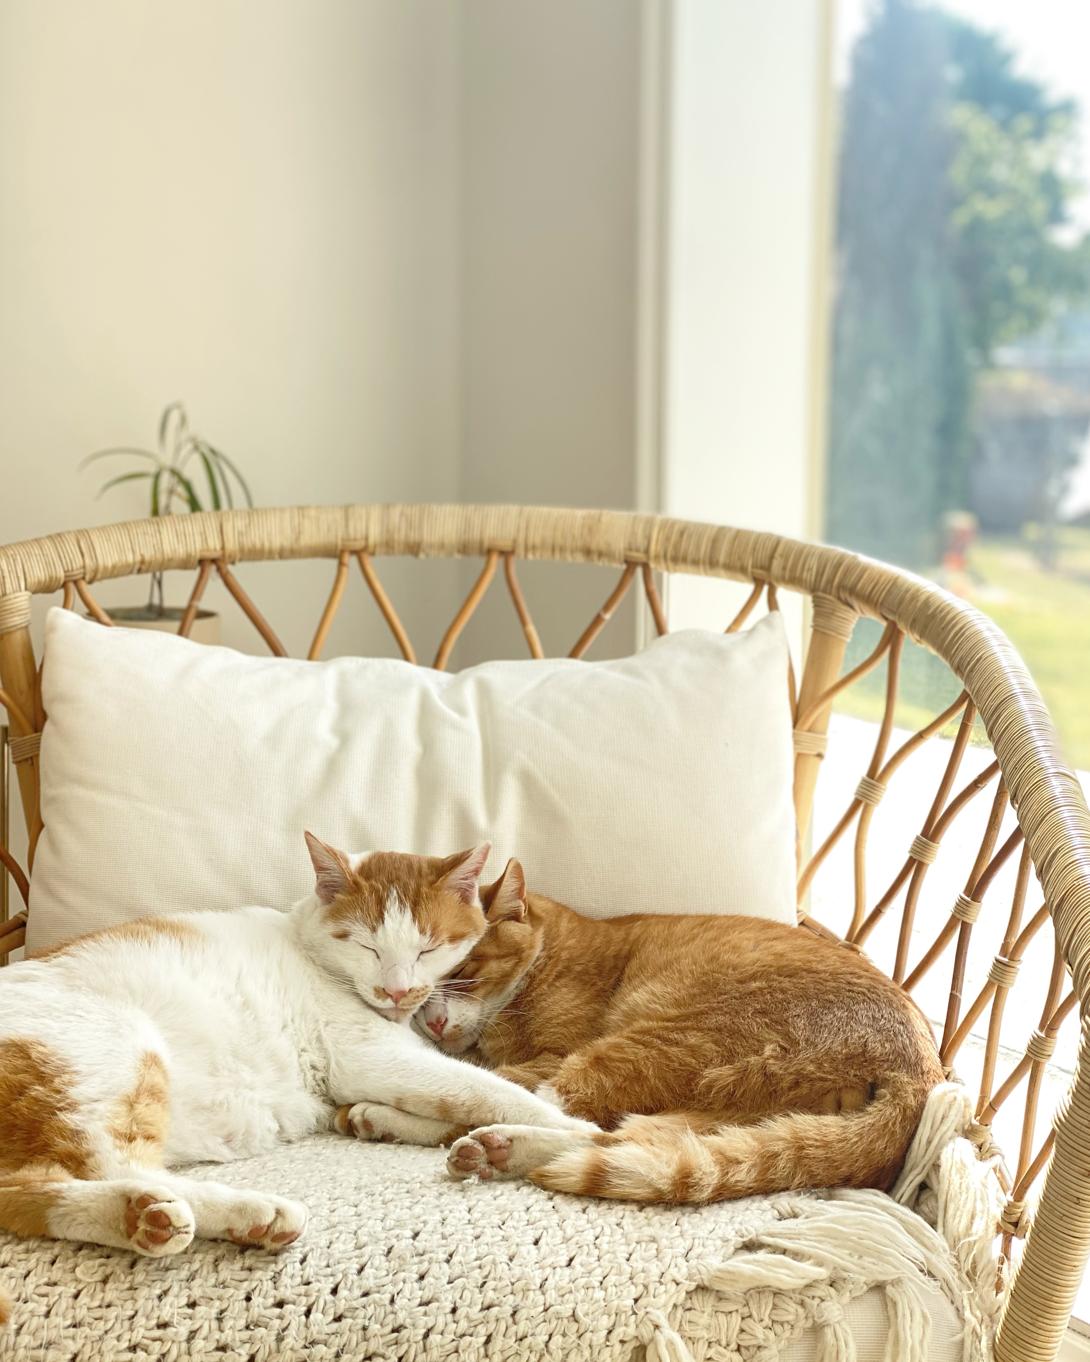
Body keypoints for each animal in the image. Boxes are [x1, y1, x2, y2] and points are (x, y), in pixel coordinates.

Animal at [0, 837, 592, 1265]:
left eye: (428, 948)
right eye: (366, 946)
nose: (397, 990)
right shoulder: (371, 1058)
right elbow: (491, 1092)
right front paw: (576, 1133)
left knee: (37, 1188)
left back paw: (155, 1219)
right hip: (115, 1053)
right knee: (114, 1164)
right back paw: (238, 1209)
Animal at [344, 858, 944, 1204]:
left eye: (463, 970)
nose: (433, 1021)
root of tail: (923, 1072)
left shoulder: (554, 1056)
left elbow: (475, 1087)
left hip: (655, 1044)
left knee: (576, 1119)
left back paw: (488, 1145)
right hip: (723, 1111)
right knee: (630, 1140)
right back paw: (492, 1150)